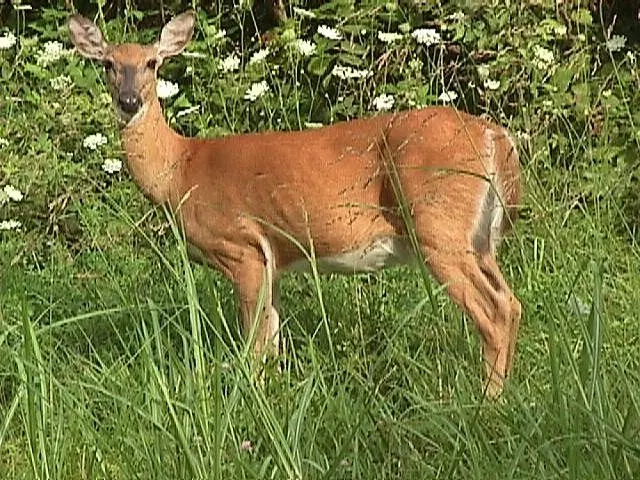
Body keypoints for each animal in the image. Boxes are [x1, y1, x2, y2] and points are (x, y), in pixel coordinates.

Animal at [68, 10, 522, 398]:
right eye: (108, 63)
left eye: (151, 63)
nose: (129, 101)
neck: (180, 169)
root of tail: (497, 137)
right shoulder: (272, 259)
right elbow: (272, 342)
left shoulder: (240, 246)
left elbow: (254, 346)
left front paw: (252, 401)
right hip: (479, 238)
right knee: (512, 302)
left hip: (436, 226)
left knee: (494, 311)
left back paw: (486, 401)